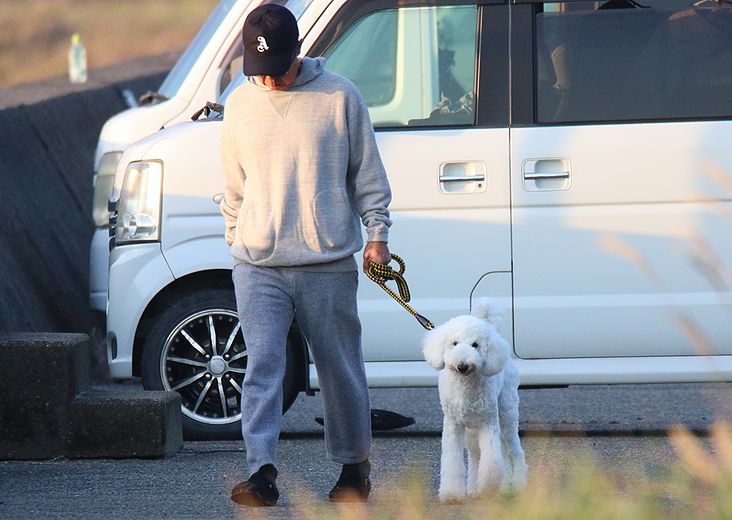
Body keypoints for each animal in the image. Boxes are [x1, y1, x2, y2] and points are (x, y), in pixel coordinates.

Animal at [423, 298, 527, 502]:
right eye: (454, 343)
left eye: (475, 345)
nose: (462, 365)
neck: (465, 385)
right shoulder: (453, 425)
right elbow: (452, 461)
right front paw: (452, 494)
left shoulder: (488, 422)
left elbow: (492, 461)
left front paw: (489, 489)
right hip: (471, 429)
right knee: (475, 455)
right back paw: (473, 489)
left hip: (506, 413)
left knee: (513, 451)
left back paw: (515, 487)